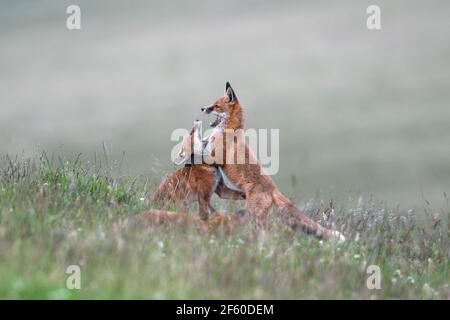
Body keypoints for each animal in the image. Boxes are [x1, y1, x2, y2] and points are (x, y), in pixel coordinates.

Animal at [200, 82, 344, 242]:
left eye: (216, 106)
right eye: (212, 104)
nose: (202, 108)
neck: (228, 130)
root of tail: (274, 189)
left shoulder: (214, 156)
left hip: (256, 218)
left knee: (265, 237)